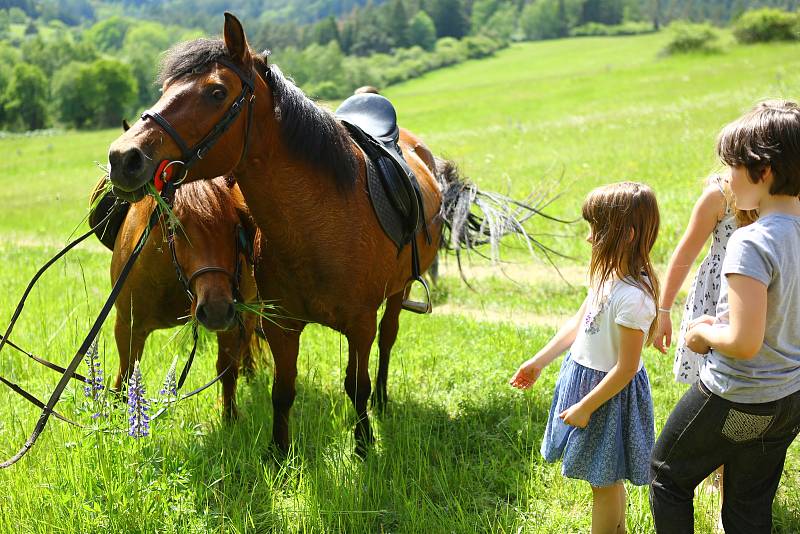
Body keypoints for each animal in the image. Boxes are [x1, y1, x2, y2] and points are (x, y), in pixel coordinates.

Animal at [95, 176, 260, 418]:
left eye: (234, 227)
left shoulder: (233, 321)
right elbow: (126, 374)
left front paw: (230, 417)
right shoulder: (128, 325)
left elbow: (227, 370)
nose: (216, 311)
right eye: (176, 229)